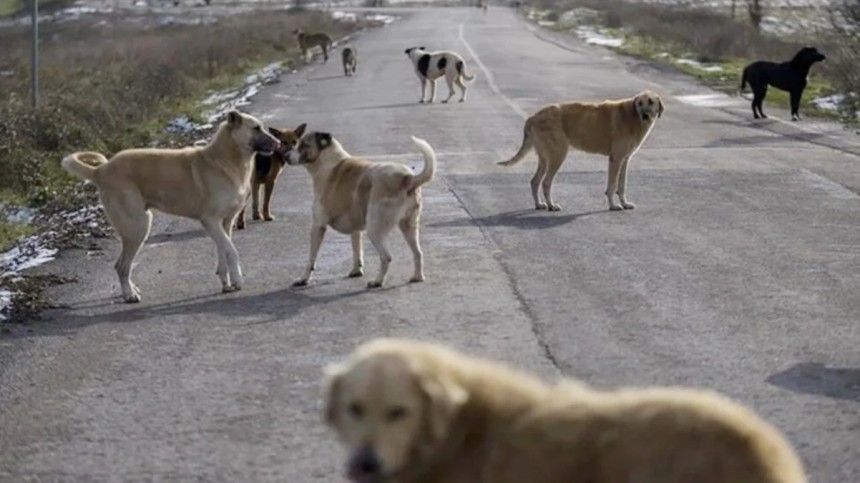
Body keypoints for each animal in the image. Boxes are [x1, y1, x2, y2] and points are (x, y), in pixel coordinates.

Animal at [63, 111, 278, 304]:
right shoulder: (210, 221)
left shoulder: (225, 223)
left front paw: (227, 283)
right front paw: (238, 280)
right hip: (138, 227)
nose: (277, 143)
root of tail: (100, 170)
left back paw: (131, 290)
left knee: (123, 265)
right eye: (256, 128)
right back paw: (129, 295)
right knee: (121, 266)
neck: (225, 160)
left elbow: (223, 252)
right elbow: (231, 251)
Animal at [288, 132, 436, 290]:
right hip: (409, 226)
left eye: (303, 145)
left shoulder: (317, 226)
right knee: (418, 253)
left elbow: (311, 258)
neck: (327, 161)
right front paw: (356, 270)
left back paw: (377, 281)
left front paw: (304, 279)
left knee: (386, 257)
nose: (285, 155)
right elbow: (357, 250)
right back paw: (418, 277)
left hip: (374, 229)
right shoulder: (355, 229)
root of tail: (407, 177)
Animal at [498, 91, 664, 212]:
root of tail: (533, 116)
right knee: (545, 182)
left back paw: (539, 204)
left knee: (535, 181)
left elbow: (622, 186)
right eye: (639, 103)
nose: (644, 115)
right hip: (558, 155)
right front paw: (613, 206)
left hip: (545, 158)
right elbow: (611, 186)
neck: (632, 117)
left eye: (651, 102)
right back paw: (551, 205)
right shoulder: (616, 159)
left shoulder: (625, 160)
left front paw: (625, 203)